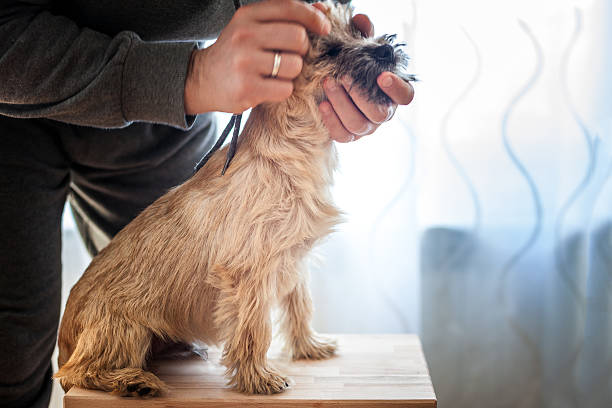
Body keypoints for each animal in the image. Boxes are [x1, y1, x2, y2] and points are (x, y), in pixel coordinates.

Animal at [55, 0, 414, 396]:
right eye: (331, 51)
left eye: (359, 30)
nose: (385, 48)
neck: (296, 150)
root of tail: (65, 340)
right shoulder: (250, 274)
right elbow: (254, 329)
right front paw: (258, 377)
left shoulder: (293, 260)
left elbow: (299, 306)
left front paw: (309, 346)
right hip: (122, 328)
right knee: (79, 371)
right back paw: (133, 381)